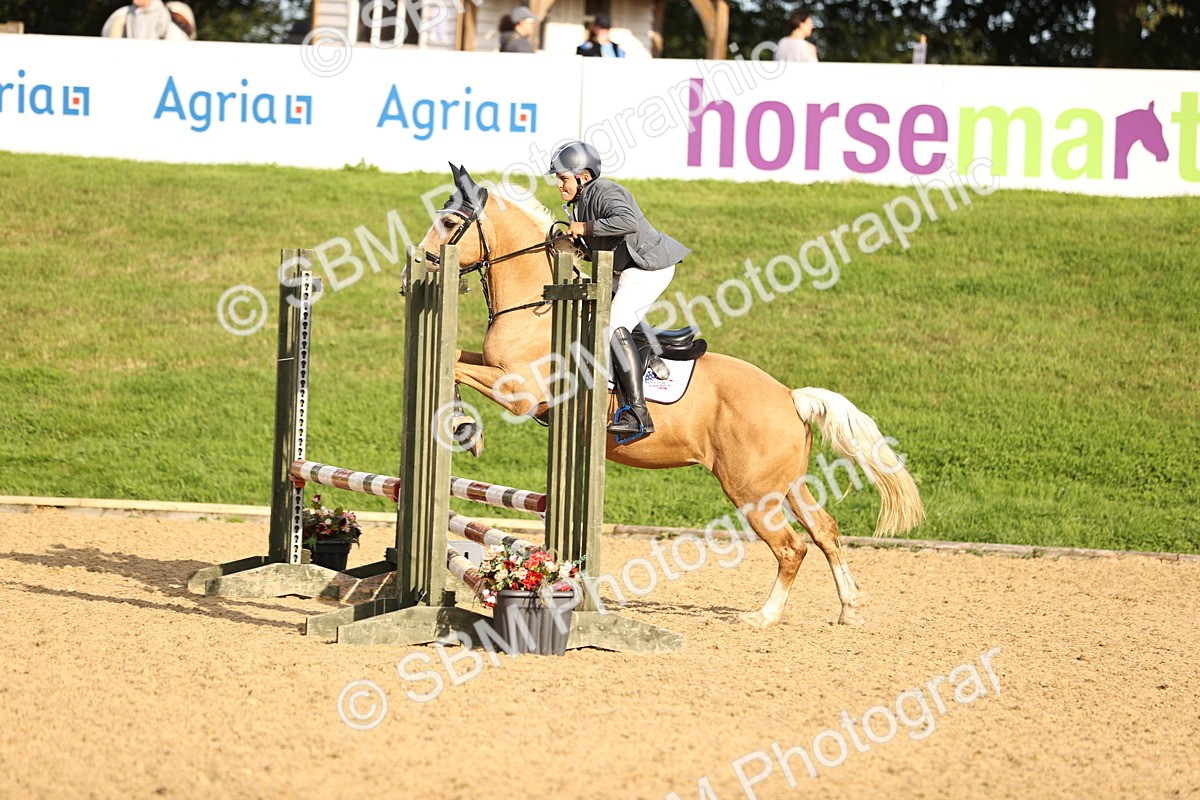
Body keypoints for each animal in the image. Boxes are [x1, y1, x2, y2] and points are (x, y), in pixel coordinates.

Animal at [418, 166, 925, 627]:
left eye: (449, 222)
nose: (423, 262)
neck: (537, 304)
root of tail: (789, 396)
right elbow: (457, 359)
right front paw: (466, 428)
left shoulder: (520, 393)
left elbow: (458, 367)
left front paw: (464, 428)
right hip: (788, 485)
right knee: (825, 532)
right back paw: (849, 609)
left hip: (752, 491)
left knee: (791, 548)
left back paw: (763, 616)